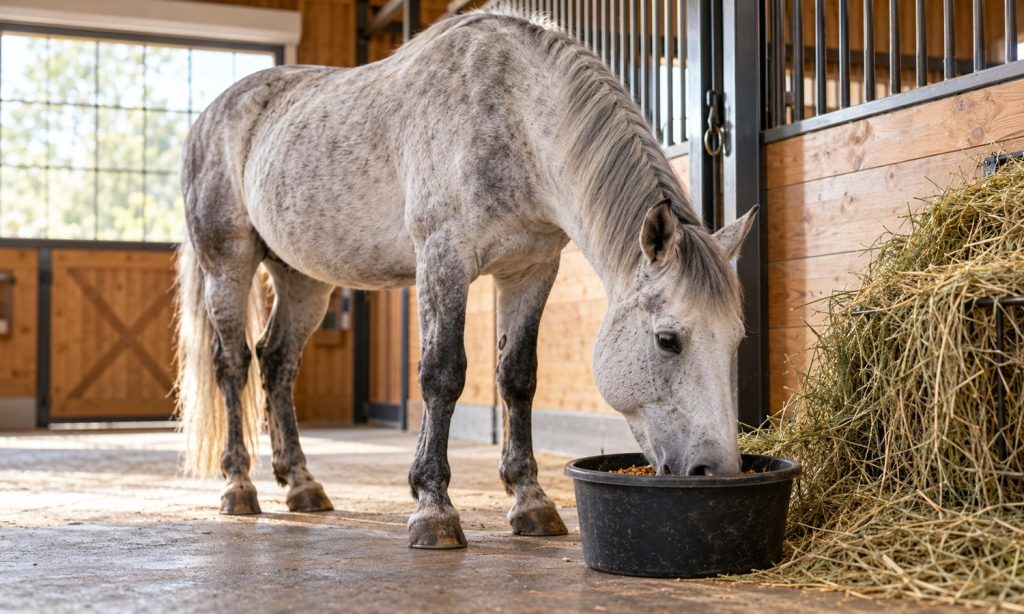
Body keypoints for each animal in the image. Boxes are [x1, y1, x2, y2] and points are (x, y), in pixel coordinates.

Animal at [174, 5, 757, 549]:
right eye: (667, 340)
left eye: (736, 341)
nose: (714, 471)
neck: (516, 116)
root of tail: (208, 118)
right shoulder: (443, 259)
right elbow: (442, 374)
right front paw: (433, 508)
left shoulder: (530, 269)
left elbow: (518, 377)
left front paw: (531, 502)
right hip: (228, 264)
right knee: (234, 365)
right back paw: (238, 487)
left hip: (302, 279)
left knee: (277, 363)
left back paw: (302, 485)